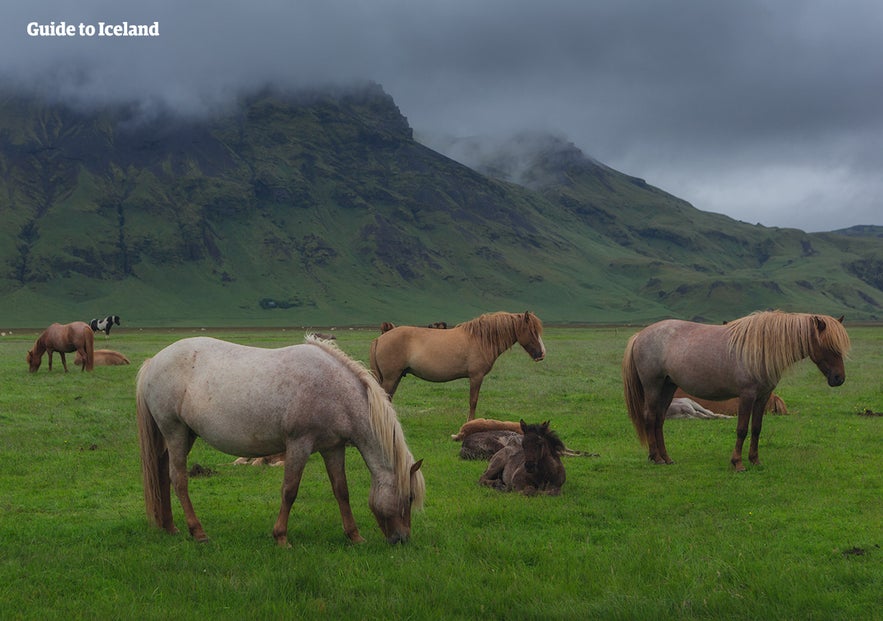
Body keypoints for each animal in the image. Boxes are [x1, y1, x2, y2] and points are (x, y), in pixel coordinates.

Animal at [620, 310, 848, 470]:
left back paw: (666, 458)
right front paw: (737, 463)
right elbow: (742, 429)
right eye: (829, 346)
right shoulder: (746, 396)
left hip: (668, 387)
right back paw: (656, 457)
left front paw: (755, 460)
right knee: (650, 417)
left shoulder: (762, 397)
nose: (839, 379)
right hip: (653, 386)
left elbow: (756, 429)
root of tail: (640, 335)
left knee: (659, 420)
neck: (761, 348)